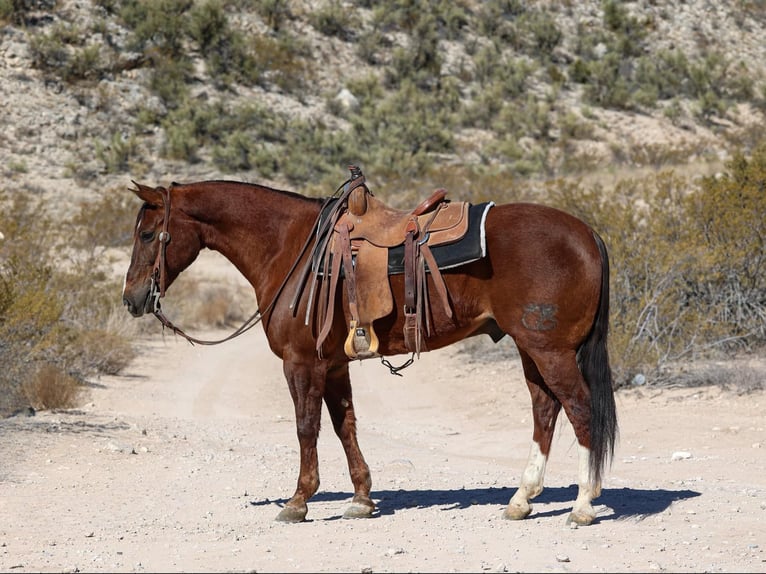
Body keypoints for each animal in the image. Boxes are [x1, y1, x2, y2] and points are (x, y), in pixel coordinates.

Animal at [121, 174, 618, 526]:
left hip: (550, 350)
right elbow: (346, 426)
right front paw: (361, 499)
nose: (132, 299)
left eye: (147, 235)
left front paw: (298, 501)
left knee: (579, 408)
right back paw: (521, 500)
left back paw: (582, 506)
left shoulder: (302, 364)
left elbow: (306, 428)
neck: (292, 249)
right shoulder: (334, 365)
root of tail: (587, 233)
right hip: (530, 349)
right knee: (545, 410)